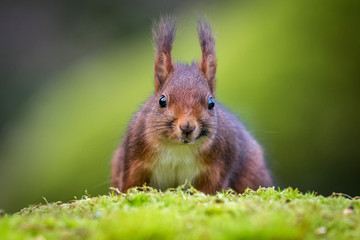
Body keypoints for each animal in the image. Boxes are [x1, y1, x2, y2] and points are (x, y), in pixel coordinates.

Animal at [111, 16, 272, 193]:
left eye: (211, 103)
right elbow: (130, 186)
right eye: (162, 101)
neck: (178, 148)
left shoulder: (216, 169)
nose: (187, 127)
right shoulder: (134, 162)